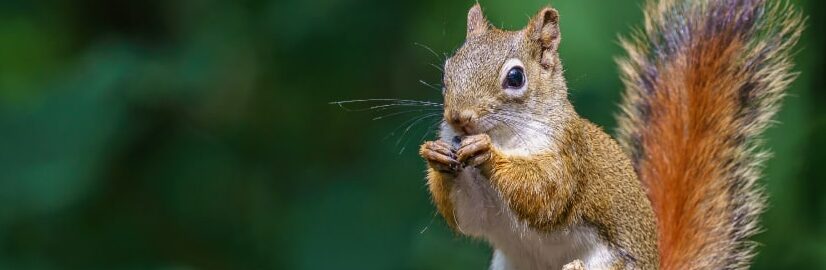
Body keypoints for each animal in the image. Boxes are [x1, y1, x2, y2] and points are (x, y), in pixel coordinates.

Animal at [418, 0, 800, 270]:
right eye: (448, 70)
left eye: (515, 77)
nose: (458, 119)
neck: (505, 136)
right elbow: (469, 216)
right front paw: (437, 155)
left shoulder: (569, 155)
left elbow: (546, 193)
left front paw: (487, 154)